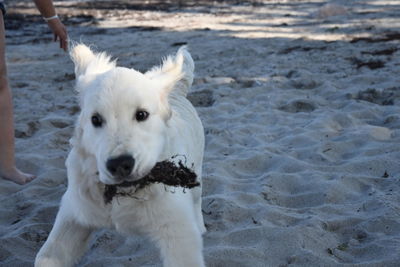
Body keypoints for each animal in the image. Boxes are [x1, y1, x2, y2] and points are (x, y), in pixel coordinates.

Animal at [34, 45, 206, 266]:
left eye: (141, 114)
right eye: (96, 119)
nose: (120, 164)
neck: (123, 193)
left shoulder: (178, 231)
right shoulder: (74, 213)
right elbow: (45, 256)